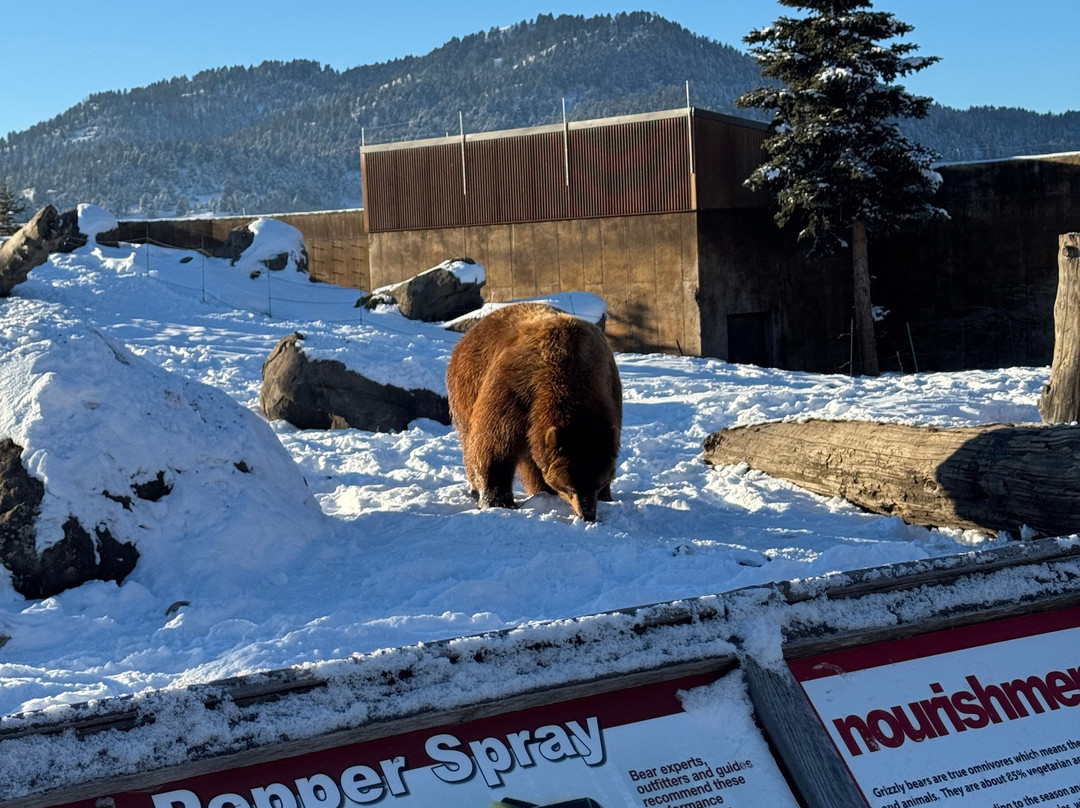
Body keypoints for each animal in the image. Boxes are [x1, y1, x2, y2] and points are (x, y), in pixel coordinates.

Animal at [446, 302, 622, 522]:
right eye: (570, 485)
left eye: (598, 483)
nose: (587, 514)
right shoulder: (515, 391)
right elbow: (494, 444)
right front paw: (497, 501)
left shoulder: (610, 390)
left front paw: (607, 496)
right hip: (467, 388)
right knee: (470, 441)